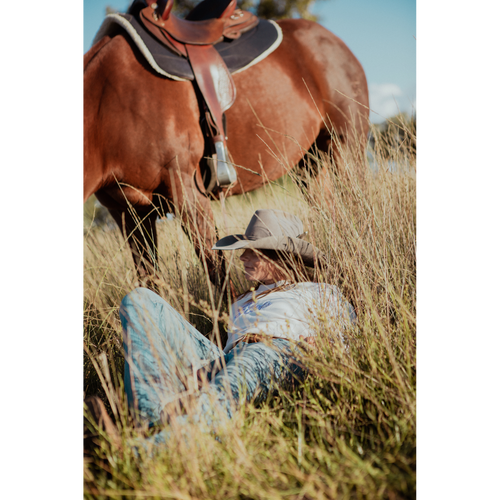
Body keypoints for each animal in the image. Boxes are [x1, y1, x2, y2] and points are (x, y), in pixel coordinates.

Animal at [80, 0, 370, 290]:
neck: (108, 104)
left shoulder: (187, 193)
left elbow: (218, 278)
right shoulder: (129, 213)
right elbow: (149, 280)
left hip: (345, 148)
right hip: (310, 165)